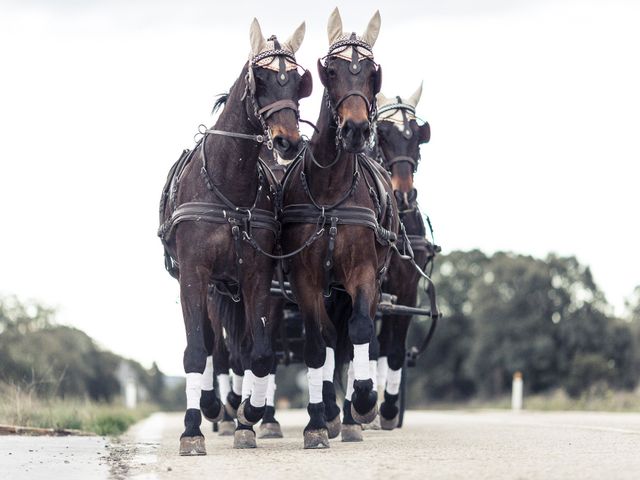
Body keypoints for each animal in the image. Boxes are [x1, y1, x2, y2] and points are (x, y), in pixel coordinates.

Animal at [158, 19, 312, 454]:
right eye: (259, 78)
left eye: (298, 81)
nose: (287, 141)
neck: (228, 185)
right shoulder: (195, 274)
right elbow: (199, 351)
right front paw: (194, 428)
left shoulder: (258, 275)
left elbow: (258, 355)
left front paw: (250, 415)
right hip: (212, 287)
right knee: (214, 347)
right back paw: (213, 407)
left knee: (240, 350)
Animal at [280, 8, 396, 450]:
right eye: (331, 71)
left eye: (372, 73)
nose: (356, 130)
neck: (329, 192)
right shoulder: (305, 278)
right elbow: (318, 343)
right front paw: (318, 419)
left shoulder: (363, 273)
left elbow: (359, 331)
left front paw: (362, 402)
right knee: (331, 339)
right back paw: (330, 410)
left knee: (349, 341)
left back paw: (350, 413)